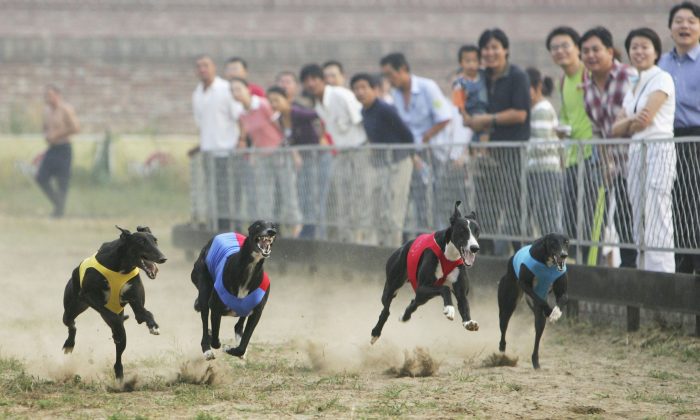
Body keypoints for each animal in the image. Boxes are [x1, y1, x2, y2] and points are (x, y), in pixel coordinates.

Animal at [60, 226, 167, 380]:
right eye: (141, 242)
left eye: (155, 240)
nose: (163, 258)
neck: (121, 267)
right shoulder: (87, 295)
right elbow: (108, 312)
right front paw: (116, 320)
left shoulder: (136, 302)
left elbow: (144, 314)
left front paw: (153, 326)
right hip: (72, 307)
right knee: (71, 324)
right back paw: (69, 343)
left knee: (119, 351)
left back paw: (119, 374)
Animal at [193, 220, 280, 360]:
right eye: (258, 225)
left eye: (273, 226)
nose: (271, 232)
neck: (249, 269)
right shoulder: (215, 308)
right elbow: (215, 340)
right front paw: (219, 343)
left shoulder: (256, 313)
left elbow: (243, 345)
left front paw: (231, 349)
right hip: (203, 284)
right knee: (205, 319)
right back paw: (207, 349)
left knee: (238, 326)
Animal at [372, 201, 482, 344]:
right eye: (462, 230)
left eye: (477, 231)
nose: (475, 248)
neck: (448, 255)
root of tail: (403, 246)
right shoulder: (422, 287)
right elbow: (445, 288)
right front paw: (449, 308)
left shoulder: (460, 291)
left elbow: (464, 303)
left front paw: (468, 322)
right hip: (392, 286)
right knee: (386, 310)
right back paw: (375, 333)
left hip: (422, 296)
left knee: (414, 302)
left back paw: (404, 316)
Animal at [498, 233, 568, 368]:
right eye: (554, 242)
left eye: (566, 242)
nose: (563, 255)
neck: (548, 264)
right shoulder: (524, 284)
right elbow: (542, 302)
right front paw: (550, 311)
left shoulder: (561, 290)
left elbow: (561, 299)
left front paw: (555, 313)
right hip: (508, 303)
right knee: (504, 325)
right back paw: (502, 350)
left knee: (538, 328)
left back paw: (535, 361)